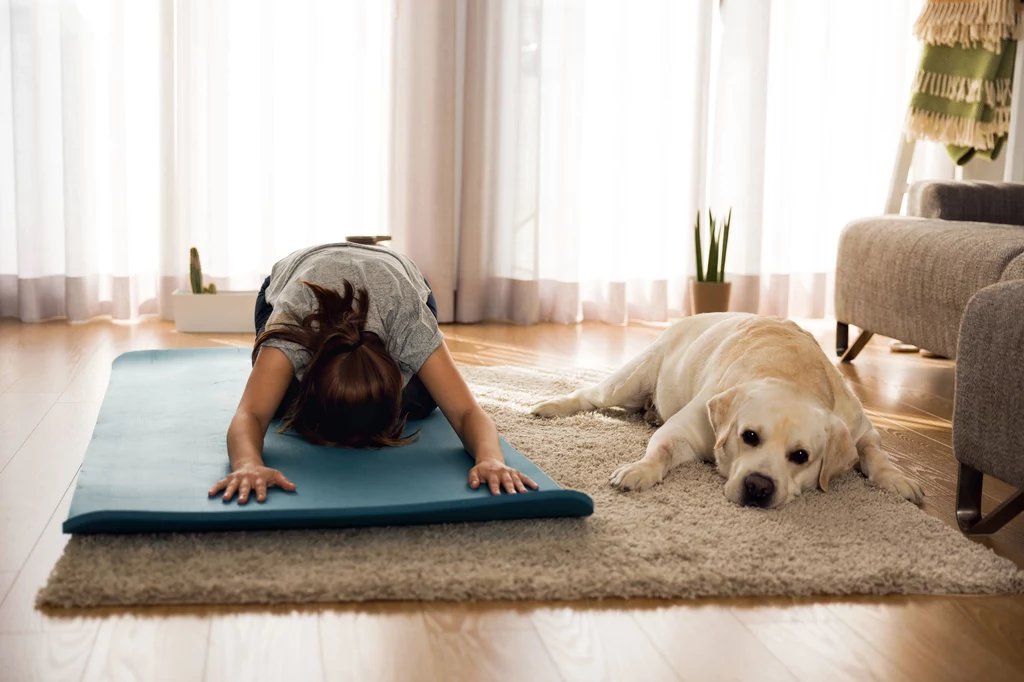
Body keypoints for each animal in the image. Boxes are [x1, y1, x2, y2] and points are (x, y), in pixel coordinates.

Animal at [532, 311, 925, 503]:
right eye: (748, 436)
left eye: (801, 456)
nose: (758, 487)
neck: (791, 377)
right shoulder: (685, 428)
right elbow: (660, 450)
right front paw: (639, 471)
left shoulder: (860, 427)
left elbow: (874, 454)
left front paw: (898, 480)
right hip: (630, 382)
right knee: (590, 394)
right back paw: (548, 406)